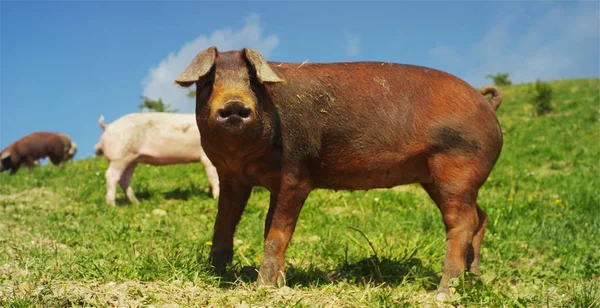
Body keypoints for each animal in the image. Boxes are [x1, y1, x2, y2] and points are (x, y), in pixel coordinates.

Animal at [173, 47, 502, 300]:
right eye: (208, 81)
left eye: (253, 81)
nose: (234, 105)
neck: (243, 158)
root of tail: (487, 103)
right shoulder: (230, 178)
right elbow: (223, 224)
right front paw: (215, 276)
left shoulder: (296, 176)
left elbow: (276, 232)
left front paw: (264, 287)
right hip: (439, 179)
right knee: (480, 216)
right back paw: (473, 278)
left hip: (457, 165)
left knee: (462, 223)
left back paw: (443, 293)